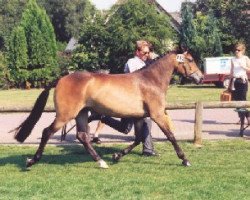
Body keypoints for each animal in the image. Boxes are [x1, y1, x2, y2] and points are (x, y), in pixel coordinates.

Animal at [12, 50, 203, 168]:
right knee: (47, 132)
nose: (200, 78)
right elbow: (170, 136)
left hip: (81, 114)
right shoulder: (157, 115)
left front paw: (117, 156)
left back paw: (101, 162)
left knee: (82, 136)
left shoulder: (140, 116)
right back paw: (31, 161)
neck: (150, 80)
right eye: (191, 60)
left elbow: (139, 138)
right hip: (65, 115)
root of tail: (61, 79)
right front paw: (185, 160)